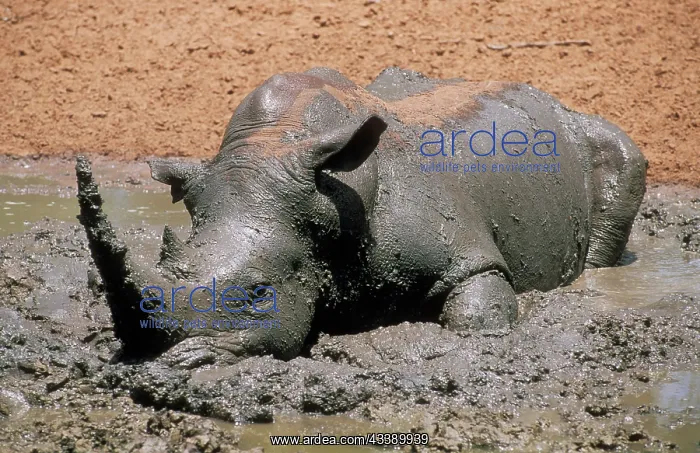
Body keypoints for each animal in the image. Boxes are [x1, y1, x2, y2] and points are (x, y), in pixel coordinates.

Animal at [75, 67, 646, 368]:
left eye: (258, 293)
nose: (153, 358)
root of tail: (551, 98)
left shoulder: (466, 255)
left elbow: (477, 309)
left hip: (596, 139)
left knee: (622, 159)